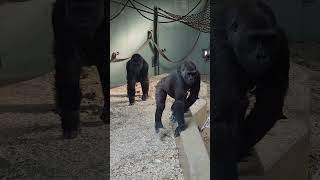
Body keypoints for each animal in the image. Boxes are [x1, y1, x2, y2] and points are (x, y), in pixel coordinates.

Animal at [52, 0, 108, 139]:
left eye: (90, 10)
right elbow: (69, 65)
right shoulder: (60, 14)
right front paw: (71, 121)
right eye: (76, 10)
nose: (82, 22)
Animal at [212, 0, 290, 179]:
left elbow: (268, 104)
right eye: (253, 39)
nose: (262, 56)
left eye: (268, 39)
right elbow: (223, 118)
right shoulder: (219, 47)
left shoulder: (282, 42)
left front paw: (238, 151)